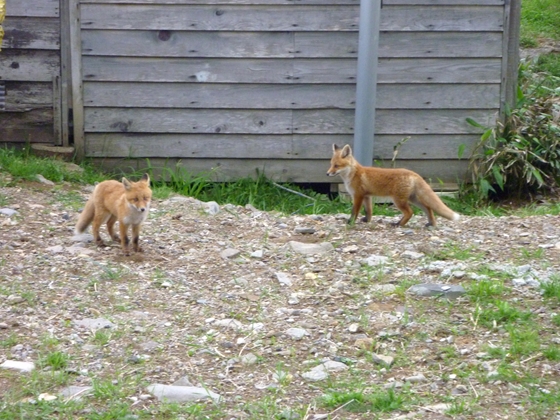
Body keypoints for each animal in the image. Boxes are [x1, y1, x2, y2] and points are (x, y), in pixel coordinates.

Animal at [326, 145, 462, 230]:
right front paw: (367, 220)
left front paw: (350, 222)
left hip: (398, 201)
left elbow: (354, 211)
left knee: (410, 212)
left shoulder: (358, 196)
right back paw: (431, 223)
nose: (327, 174)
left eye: (337, 166)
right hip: (413, 199)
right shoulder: (367, 196)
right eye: (331, 164)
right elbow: (369, 210)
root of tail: (414, 173)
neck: (354, 174)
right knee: (428, 209)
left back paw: (398, 224)